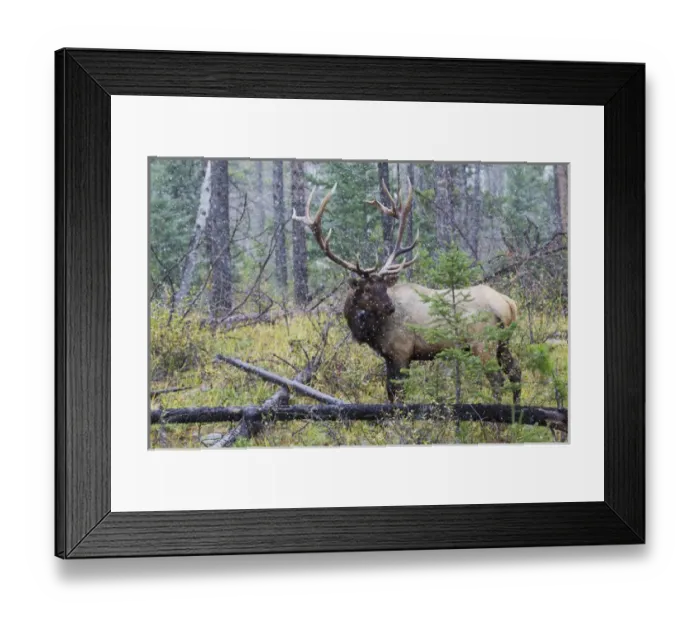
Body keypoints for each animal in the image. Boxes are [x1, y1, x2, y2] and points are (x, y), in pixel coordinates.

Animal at [293, 178, 522, 404]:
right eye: (367, 289)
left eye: (383, 287)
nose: (390, 307)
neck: (372, 332)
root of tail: (508, 304)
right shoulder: (389, 356)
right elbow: (390, 393)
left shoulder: (401, 351)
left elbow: (398, 394)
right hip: (503, 342)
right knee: (516, 373)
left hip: (482, 342)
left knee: (497, 379)